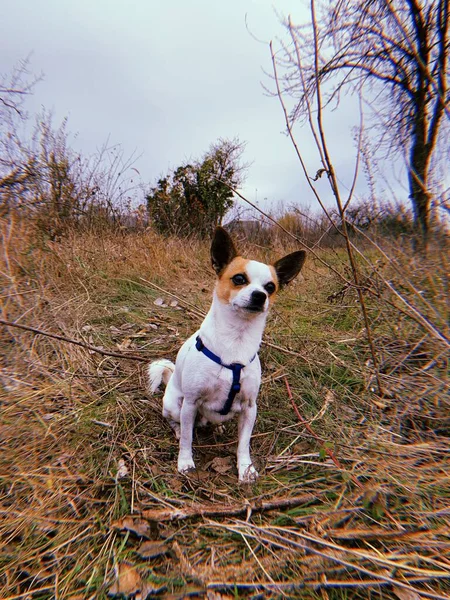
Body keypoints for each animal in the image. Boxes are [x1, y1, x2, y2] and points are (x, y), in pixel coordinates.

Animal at [148, 226, 306, 482]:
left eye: (270, 287)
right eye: (239, 279)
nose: (260, 295)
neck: (236, 341)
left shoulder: (250, 408)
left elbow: (244, 444)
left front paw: (245, 468)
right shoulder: (190, 403)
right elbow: (187, 440)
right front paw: (185, 462)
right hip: (174, 404)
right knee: (176, 423)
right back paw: (180, 429)